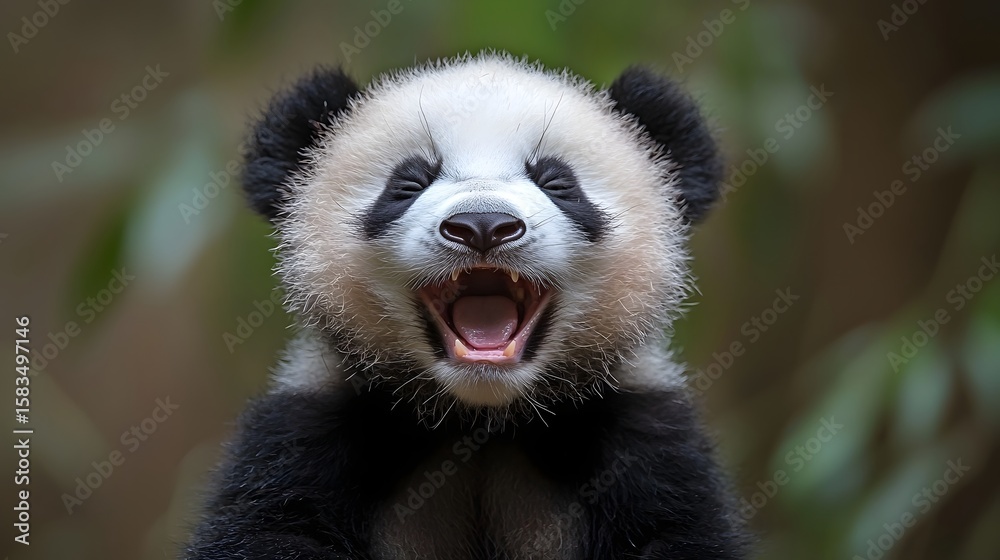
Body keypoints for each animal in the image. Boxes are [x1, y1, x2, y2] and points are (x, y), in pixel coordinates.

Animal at [184, 52, 749, 559]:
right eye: (408, 183)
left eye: (556, 182)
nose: (483, 224)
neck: (479, 419)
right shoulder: (304, 432)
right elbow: (275, 528)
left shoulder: (646, 441)